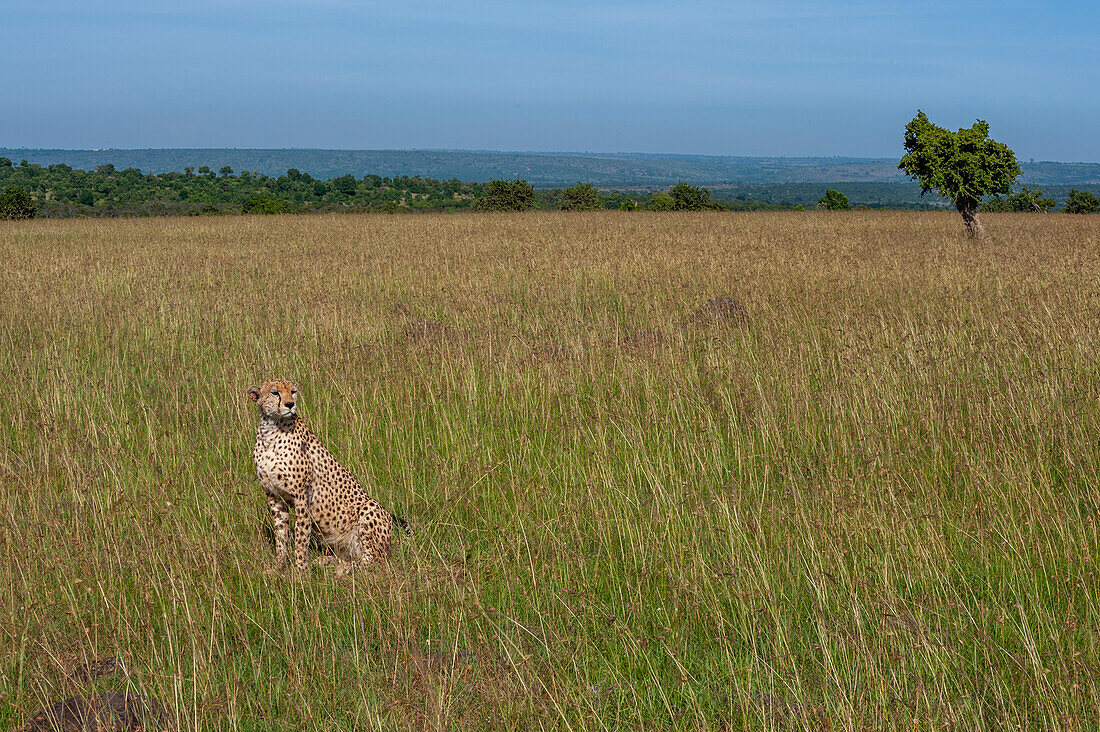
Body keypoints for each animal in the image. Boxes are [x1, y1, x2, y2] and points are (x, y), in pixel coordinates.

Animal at [245, 378, 409, 572]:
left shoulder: (301, 497)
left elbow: (301, 538)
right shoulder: (274, 497)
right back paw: (325, 561)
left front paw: (300, 571)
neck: (270, 431)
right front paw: (279, 567)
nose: (290, 404)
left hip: (370, 508)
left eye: (293, 392)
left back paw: (344, 569)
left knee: (374, 560)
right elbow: (280, 537)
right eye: (275, 392)